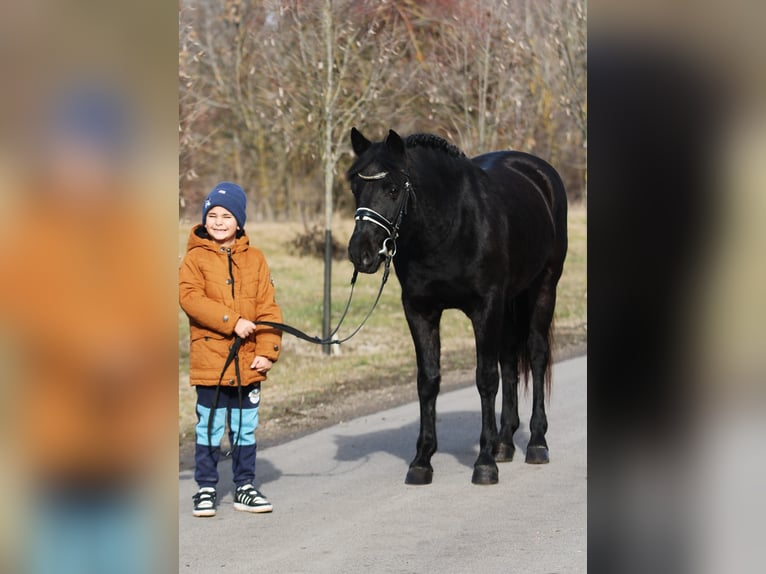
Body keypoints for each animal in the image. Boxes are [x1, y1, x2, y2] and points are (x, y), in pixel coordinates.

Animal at [348, 129, 568, 486]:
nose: (361, 254)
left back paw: (536, 443)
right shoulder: (420, 311)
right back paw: (505, 444)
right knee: (509, 359)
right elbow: (428, 381)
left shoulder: (485, 308)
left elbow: (485, 379)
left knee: (535, 355)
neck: (451, 225)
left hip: (544, 288)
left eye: (392, 189)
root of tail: (539, 172)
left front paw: (484, 463)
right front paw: (422, 461)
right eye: (355, 187)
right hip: (509, 302)